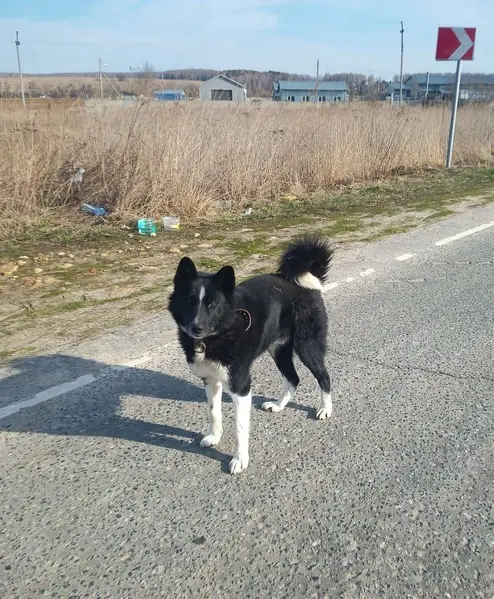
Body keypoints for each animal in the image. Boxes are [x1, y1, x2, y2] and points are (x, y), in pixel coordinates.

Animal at [168, 236, 334, 474]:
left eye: (213, 304)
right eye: (189, 301)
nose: (196, 328)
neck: (219, 333)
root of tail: (303, 282)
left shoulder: (241, 386)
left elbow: (240, 428)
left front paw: (239, 459)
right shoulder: (210, 380)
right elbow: (214, 412)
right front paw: (214, 437)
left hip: (307, 347)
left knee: (323, 376)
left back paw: (325, 409)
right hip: (279, 349)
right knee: (293, 378)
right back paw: (279, 405)